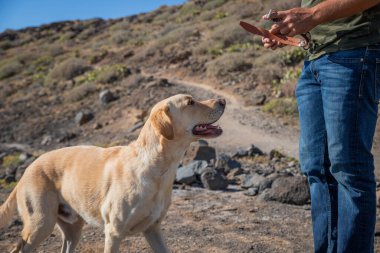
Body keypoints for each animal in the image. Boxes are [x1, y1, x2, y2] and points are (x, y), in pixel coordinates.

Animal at [0, 94, 226, 252]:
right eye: (190, 102)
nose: (223, 100)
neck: (157, 167)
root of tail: (27, 170)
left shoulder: (153, 230)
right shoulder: (114, 233)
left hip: (72, 229)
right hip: (39, 224)